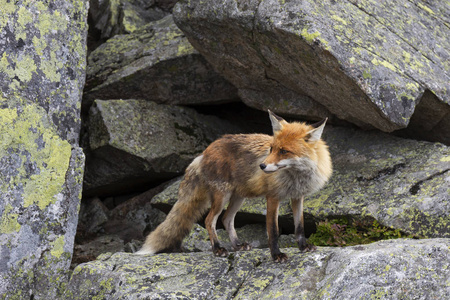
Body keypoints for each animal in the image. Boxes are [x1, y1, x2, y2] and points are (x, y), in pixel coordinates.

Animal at [135, 110, 332, 262]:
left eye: (284, 151)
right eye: (271, 149)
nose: (262, 166)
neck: (297, 177)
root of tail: (204, 152)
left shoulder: (298, 197)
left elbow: (299, 226)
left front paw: (303, 246)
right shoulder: (273, 197)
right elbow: (274, 231)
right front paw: (276, 255)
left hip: (238, 198)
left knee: (226, 219)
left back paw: (237, 245)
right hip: (222, 197)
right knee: (210, 220)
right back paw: (217, 249)